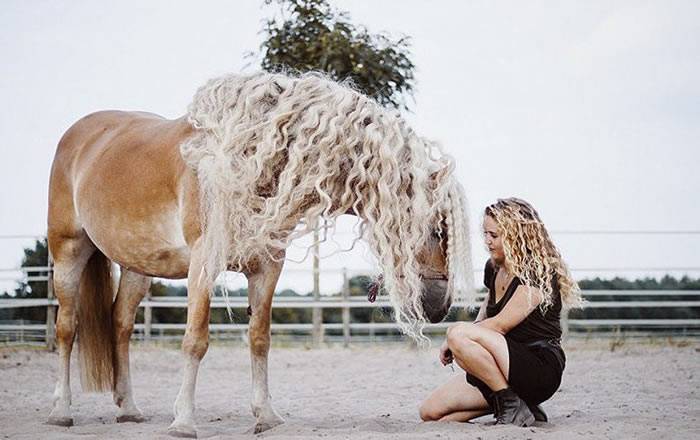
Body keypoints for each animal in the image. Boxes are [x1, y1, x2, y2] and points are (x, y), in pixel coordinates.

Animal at [45, 72, 476, 436]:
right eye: (436, 229)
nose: (440, 306)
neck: (252, 159)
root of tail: (79, 136)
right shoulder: (204, 263)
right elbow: (195, 340)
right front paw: (183, 422)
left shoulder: (267, 267)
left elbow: (259, 339)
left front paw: (266, 416)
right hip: (68, 252)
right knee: (67, 328)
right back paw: (61, 411)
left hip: (138, 265)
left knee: (120, 325)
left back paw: (129, 408)